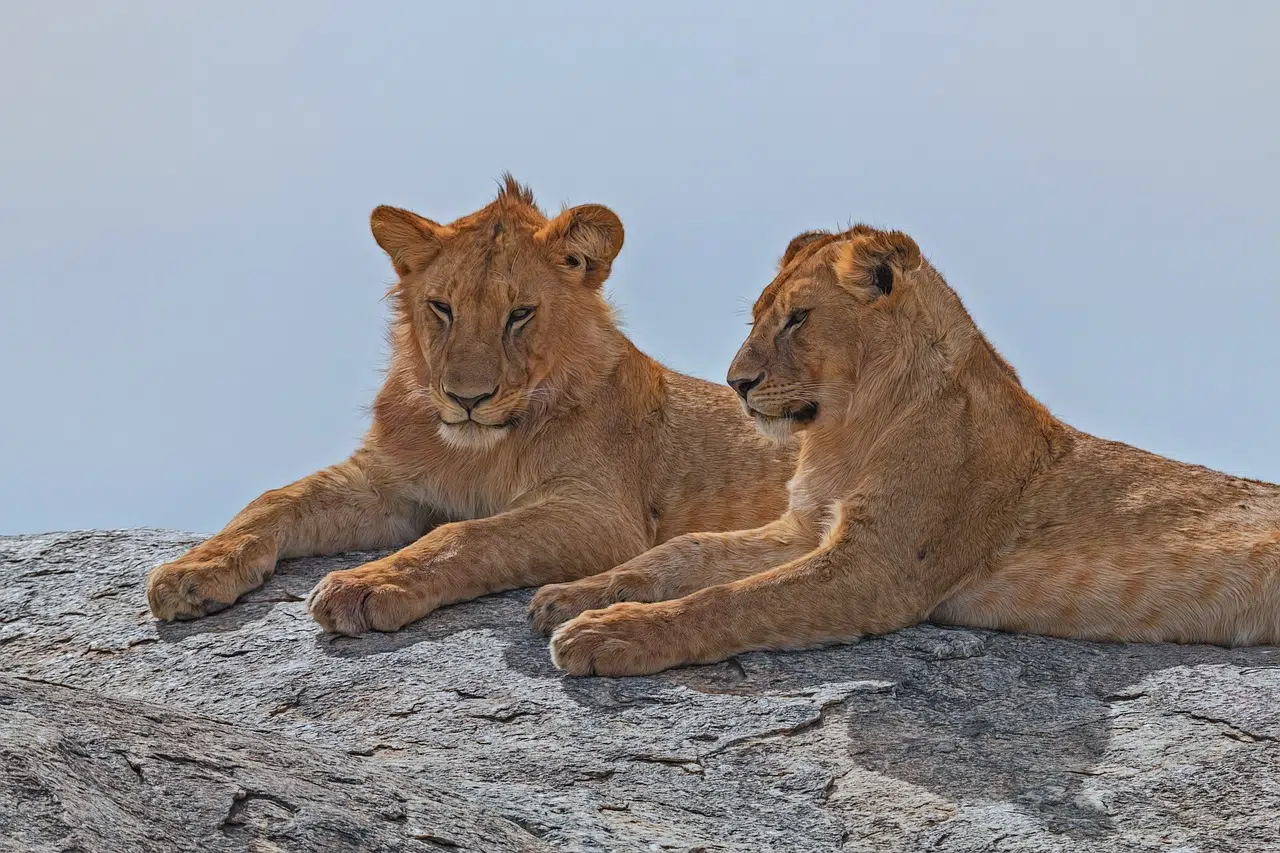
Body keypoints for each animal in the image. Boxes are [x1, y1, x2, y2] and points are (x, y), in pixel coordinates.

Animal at [146, 177, 795, 632]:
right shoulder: (387, 485)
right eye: (442, 307)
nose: (467, 398)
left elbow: (464, 536)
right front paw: (192, 571)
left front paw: (364, 585)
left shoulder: (603, 515)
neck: (475, 451)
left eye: (520, 314)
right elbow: (275, 499)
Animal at [532, 224, 1280, 676]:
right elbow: (680, 553)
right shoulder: (804, 528)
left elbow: (730, 600)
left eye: (798, 318)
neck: (845, 431)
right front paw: (572, 594)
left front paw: (608, 635)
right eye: (757, 316)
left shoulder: (876, 569)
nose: (736, 383)